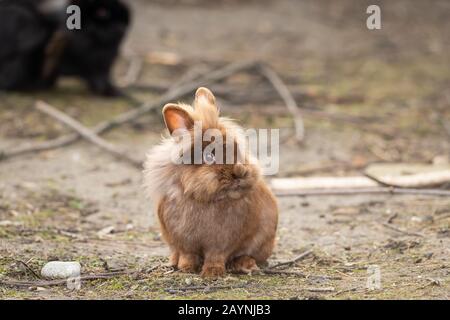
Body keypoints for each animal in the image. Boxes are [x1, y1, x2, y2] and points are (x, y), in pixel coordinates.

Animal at [144, 87, 278, 278]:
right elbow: (188, 254)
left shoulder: (222, 242)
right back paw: (174, 262)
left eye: (236, 149)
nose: (240, 173)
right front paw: (186, 268)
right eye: (209, 156)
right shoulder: (184, 240)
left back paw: (244, 264)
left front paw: (213, 273)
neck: (205, 199)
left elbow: (216, 255)